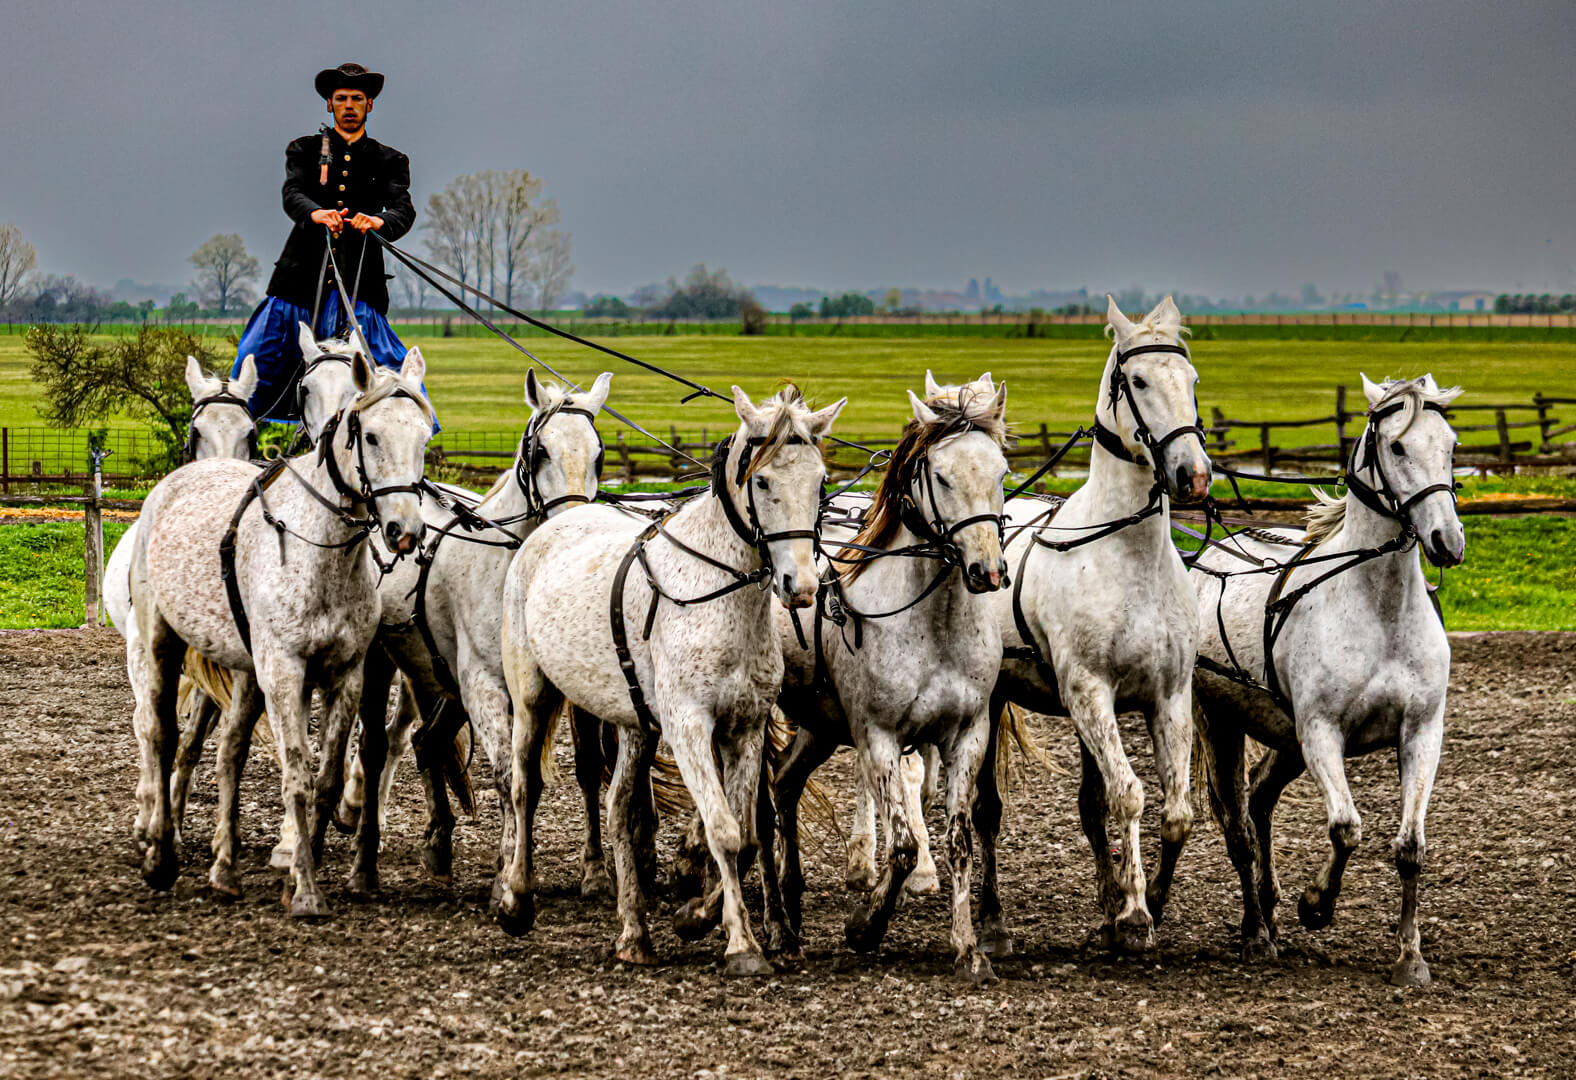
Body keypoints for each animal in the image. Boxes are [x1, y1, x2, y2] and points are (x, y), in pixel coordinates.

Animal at [338, 370, 614, 895]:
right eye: (540, 451)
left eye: (599, 453)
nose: (573, 524)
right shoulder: (484, 684)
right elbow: (509, 776)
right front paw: (508, 875)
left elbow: (587, 769)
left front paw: (593, 870)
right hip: (384, 663)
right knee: (377, 748)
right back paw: (362, 862)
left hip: (440, 680)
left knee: (427, 741)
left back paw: (438, 844)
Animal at [772, 375, 1008, 983]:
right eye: (942, 475)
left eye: (1001, 472)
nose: (987, 571)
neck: (933, 621)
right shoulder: (877, 736)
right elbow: (901, 845)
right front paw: (865, 925)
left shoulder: (967, 735)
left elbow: (959, 840)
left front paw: (968, 949)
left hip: (819, 728)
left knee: (783, 784)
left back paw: (790, 908)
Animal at [977, 294, 1210, 952]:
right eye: (1138, 380)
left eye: (1191, 380)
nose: (1194, 476)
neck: (1126, 554)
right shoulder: (1089, 693)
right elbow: (1129, 797)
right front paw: (1134, 914)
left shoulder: (1168, 696)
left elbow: (1176, 813)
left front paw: (1149, 899)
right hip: (994, 701)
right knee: (985, 811)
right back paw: (993, 918)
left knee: (1088, 804)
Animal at [1191, 372, 1462, 983]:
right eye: (1397, 447)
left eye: (1452, 444)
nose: (1447, 541)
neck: (1380, 610)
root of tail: (1212, 556)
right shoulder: (1321, 734)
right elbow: (1346, 828)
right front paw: (1315, 905)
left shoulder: (1421, 732)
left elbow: (1410, 846)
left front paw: (1410, 958)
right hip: (1221, 724)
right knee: (1239, 826)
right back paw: (1256, 933)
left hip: (1285, 741)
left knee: (1259, 801)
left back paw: (1268, 910)